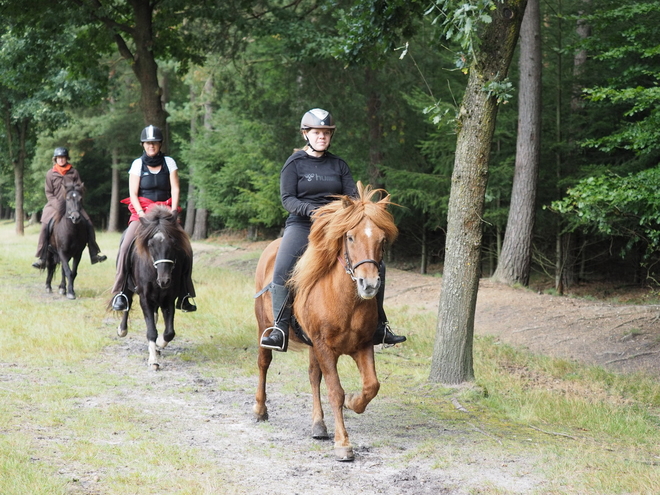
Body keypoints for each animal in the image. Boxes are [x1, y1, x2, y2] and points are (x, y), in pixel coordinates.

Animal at [253, 184, 398, 464]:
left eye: (382, 239)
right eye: (350, 237)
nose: (369, 284)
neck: (345, 301)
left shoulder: (363, 345)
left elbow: (371, 386)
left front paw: (354, 402)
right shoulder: (324, 348)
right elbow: (335, 391)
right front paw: (343, 444)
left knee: (312, 376)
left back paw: (319, 425)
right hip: (264, 326)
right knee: (264, 364)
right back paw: (259, 410)